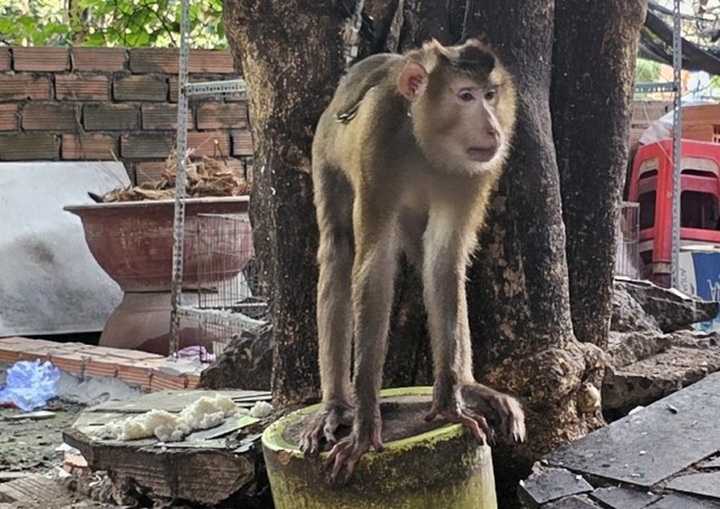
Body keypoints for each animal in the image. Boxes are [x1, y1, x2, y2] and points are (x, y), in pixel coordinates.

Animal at [301, 38, 526, 483]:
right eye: (465, 96)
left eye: (491, 94)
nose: (493, 127)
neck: (426, 144)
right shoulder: (379, 145)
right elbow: (372, 270)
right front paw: (365, 424)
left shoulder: (475, 172)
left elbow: (443, 263)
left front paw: (451, 403)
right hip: (325, 152)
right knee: (338, 250)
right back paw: (337, 406)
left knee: (431, 262)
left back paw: (469, 385)